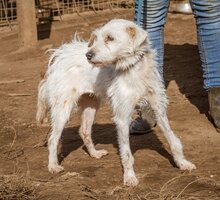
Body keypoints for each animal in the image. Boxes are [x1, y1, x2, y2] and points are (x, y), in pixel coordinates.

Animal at [36, 18, 196, 186]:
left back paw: (94, 153)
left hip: (91, 104)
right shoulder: (122, 117)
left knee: (84, 130)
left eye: (110, 38)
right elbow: (126, 153)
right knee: (53, 139)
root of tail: (59, 56)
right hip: (63, 109)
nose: (88, 55)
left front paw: (182, 163)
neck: (133, 69)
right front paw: (130, 177)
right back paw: (53, 166)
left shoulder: (158, 109)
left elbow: (173, 139)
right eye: (96, 38)